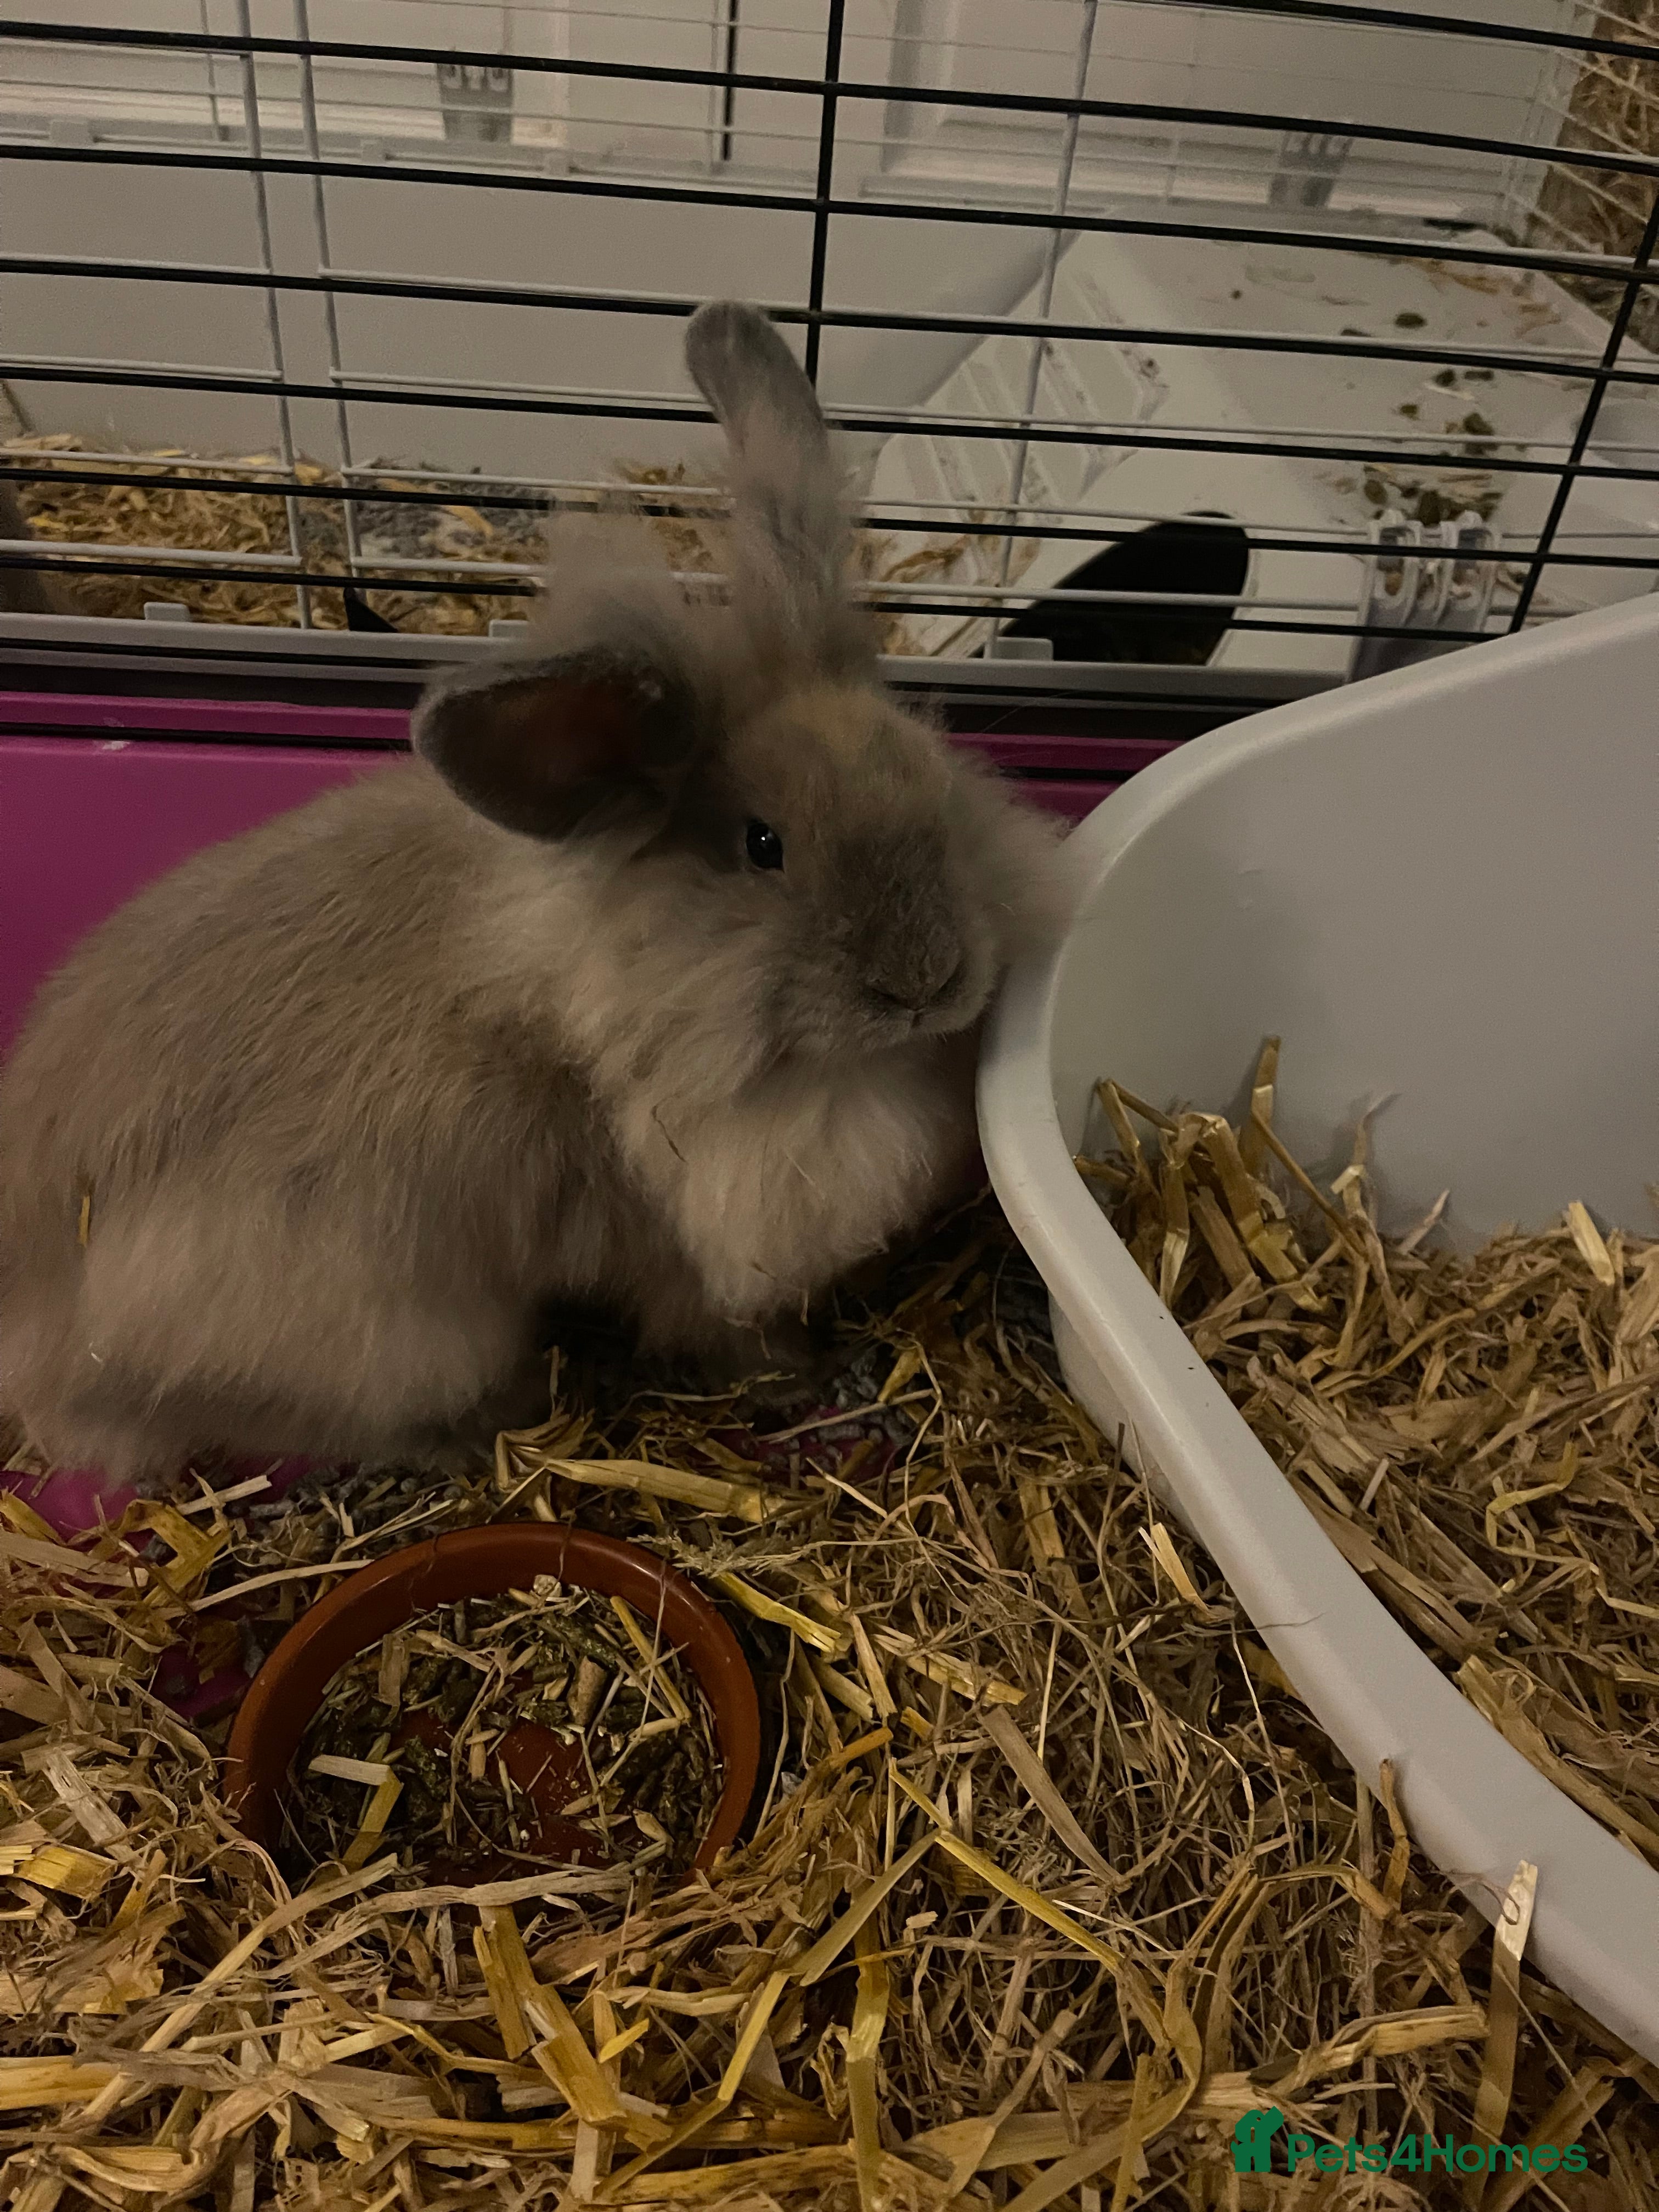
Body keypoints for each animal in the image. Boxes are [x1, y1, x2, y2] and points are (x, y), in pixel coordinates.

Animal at [0, 301, 1070, 1489]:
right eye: (764, 846)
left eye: (930, 778)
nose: (928, 981)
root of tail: (34, 1342)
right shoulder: (677, 1251)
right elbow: (728, 1330)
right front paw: (802, 1376)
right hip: (404, 1336)